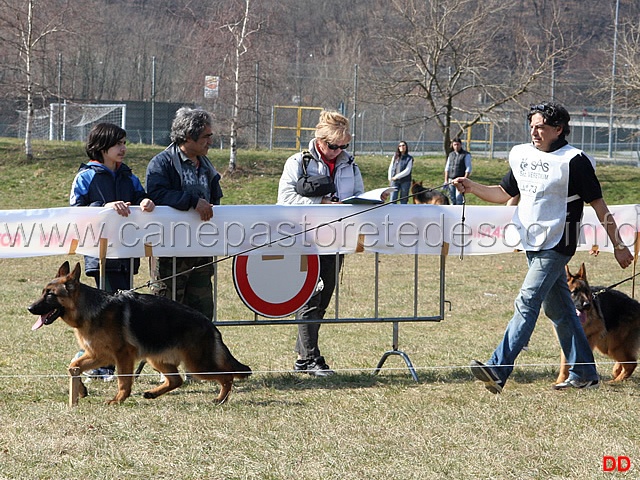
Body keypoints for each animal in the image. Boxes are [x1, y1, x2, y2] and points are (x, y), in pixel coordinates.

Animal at [28, 262, 252, 404]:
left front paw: (118, 400)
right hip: (157, 359)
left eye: (50, 295)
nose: (29, 308)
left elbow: (123, 380)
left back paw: (220, 399)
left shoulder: (122, 356)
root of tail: (209, 323)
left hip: (197, 366)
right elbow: (73, 366)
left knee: (227, 376)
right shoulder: (99, 355)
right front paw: (81, 390)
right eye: (43, 292)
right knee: (177, 380)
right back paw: (153, 394)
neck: (90, 309)